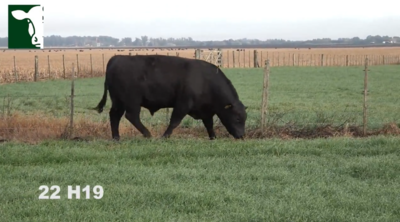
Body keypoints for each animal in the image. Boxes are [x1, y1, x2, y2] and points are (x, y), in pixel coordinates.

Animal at [95, 54, 248, 140]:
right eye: (237, 118)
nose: (242, 135)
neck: (206, 80)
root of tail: (117, 58)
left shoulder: (206, 110)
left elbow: (209, 124)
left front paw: (213, 137)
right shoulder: (183, 104)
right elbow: (174, 122)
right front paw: (165, 136)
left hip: (118, 102)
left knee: (114, 116)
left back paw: (116, 137)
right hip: (132, 101)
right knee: (131, 116)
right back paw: (147, 134)